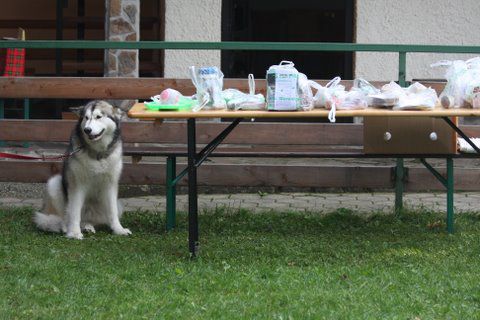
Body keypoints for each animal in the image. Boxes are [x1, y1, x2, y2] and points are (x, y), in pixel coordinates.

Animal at [33, 101, 131, 239]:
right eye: (86, 117)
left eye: (98, 117)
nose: (87, 130)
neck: (97, 154)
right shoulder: (77, 184)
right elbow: (74, 211)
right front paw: (74, 232)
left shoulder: (111, 185)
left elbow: (113, 212)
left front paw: (118, 229)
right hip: (54, 183)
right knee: (63, 216)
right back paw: (65, 226)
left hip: (117, 204)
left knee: (90, 219)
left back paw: (87, 226)